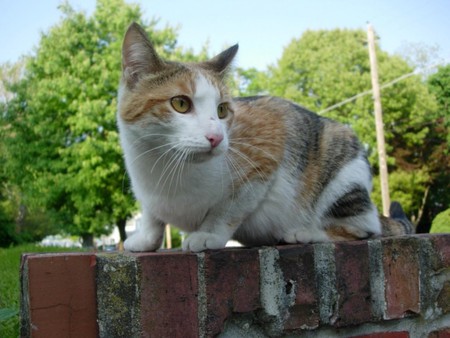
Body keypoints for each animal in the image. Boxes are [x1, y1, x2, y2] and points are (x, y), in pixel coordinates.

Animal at [118, 22, 414, 252]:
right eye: (180, 103)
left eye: (222, 110)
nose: (216, 138)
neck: (165, 166)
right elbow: (152, 215)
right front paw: (145, 239)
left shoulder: (265, 153)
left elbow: (228, 209)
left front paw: (208, 234)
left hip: (344, 175)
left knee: (364, 229)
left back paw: (306, 232)